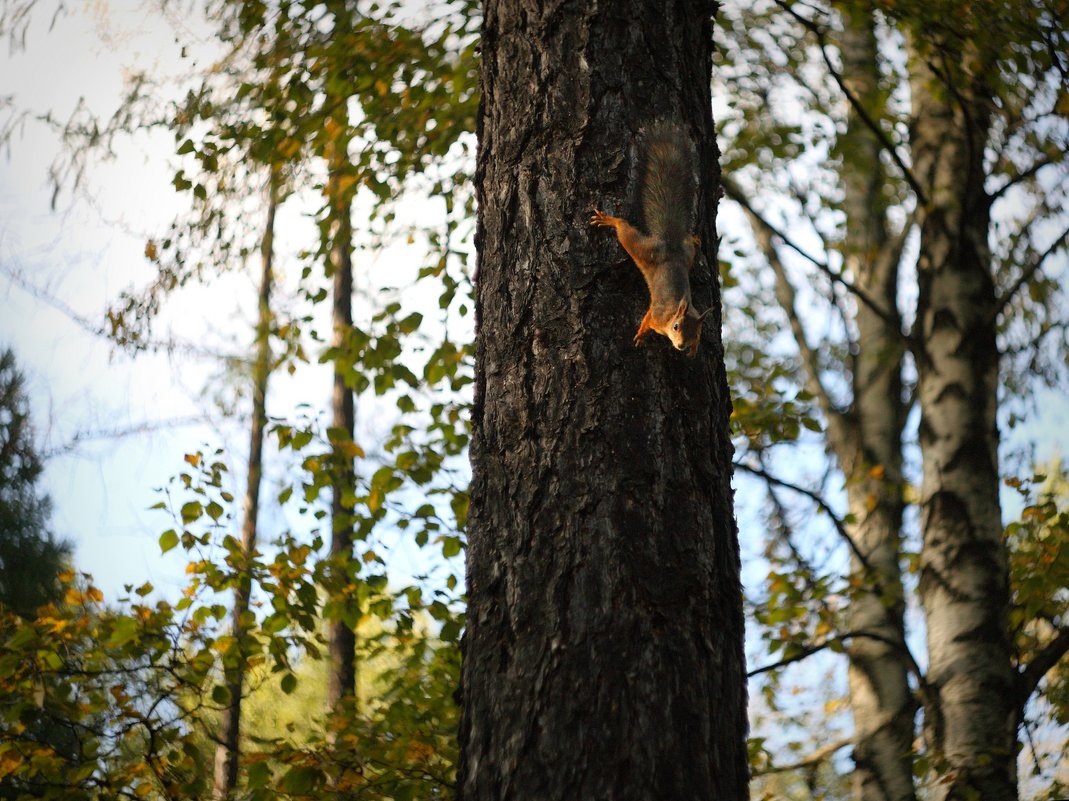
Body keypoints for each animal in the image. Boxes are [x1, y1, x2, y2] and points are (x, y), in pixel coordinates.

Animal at [594, 120, 709, 357]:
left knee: (689, 248)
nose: (681, 345)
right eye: (676, 326)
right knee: (624, 231)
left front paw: (693, 348)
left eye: (695, 332)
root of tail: (670, 246)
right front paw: (640, 335)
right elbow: (647, 319)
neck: (674, 313)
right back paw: (611, 221)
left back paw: (693, 239)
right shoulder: (658, 315)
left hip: (686, 255)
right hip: (643, 250)